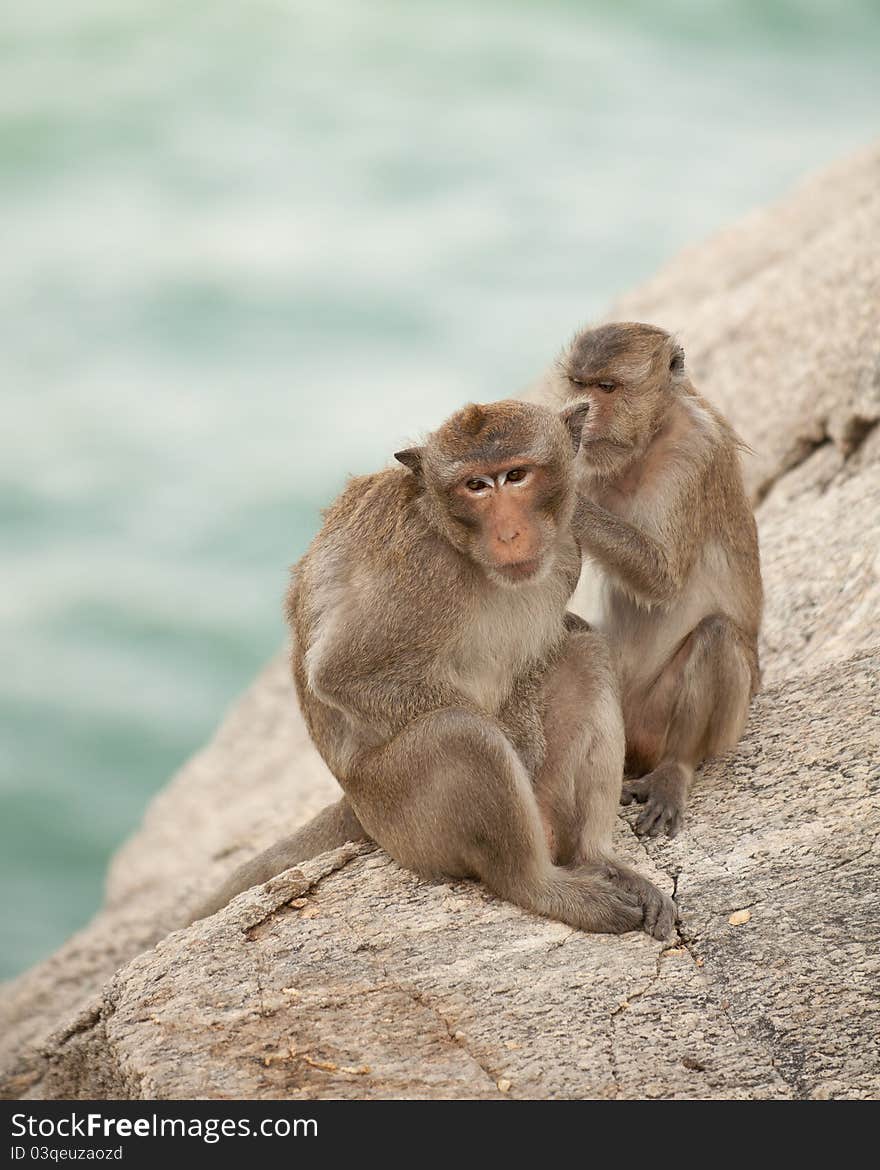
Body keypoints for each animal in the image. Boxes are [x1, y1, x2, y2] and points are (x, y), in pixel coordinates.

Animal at [194, 397, 674, 935]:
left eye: (516, 475)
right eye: (476, 486)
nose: (510, 532)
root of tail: (353, 806)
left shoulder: (567, 546)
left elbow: (545, 648)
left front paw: (525, 726)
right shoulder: (422, 573)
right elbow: (344, 674)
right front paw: (515, 741)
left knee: (588, 654)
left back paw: (597, 859)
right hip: (398, 815)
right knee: (464, 735)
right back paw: (540, 885)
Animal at [542, 320, 762, 837]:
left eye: (606, 388)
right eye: (578, 384)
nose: (584, 415)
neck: (647, 441)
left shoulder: (694, 454)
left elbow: (664, 579)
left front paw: (563, 495)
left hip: (671, 721)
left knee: (717, 636)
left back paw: (673, 771)